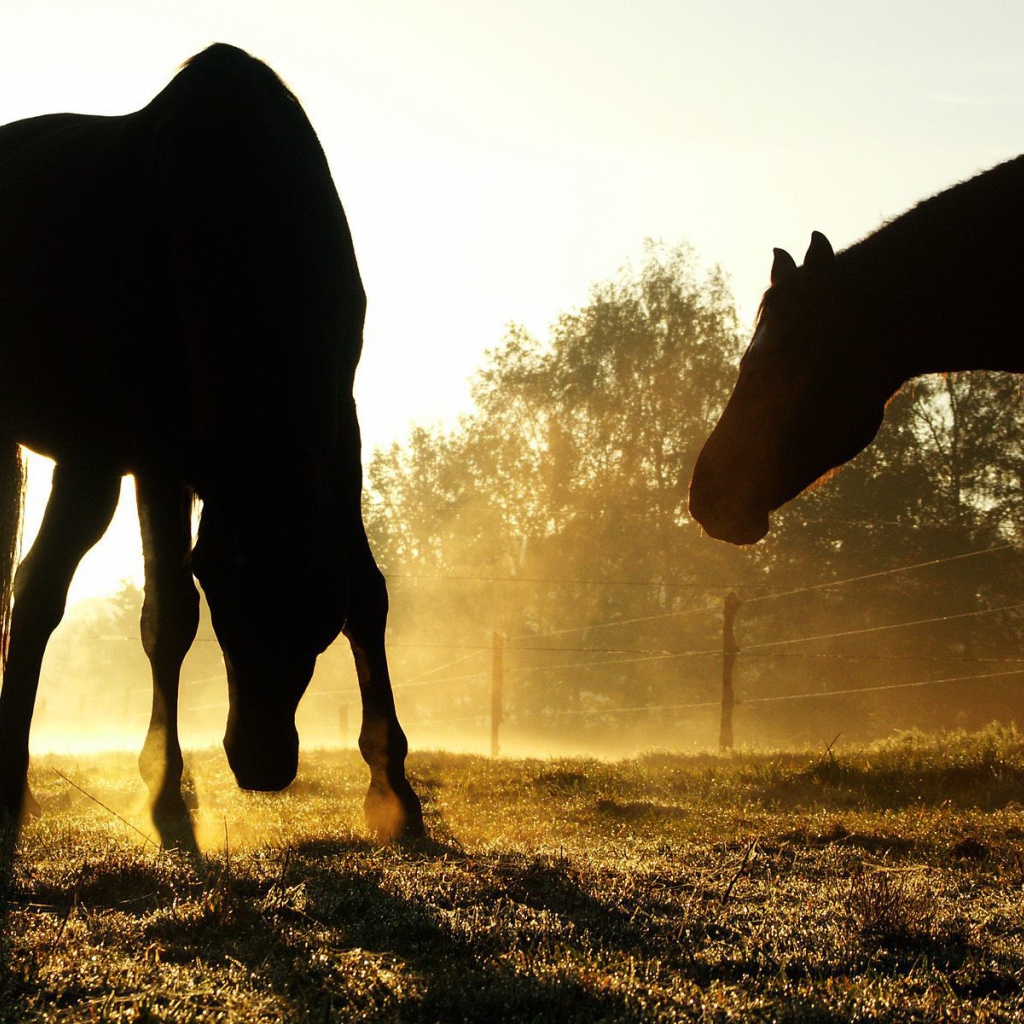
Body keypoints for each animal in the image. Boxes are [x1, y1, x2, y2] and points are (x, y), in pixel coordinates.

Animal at [0, 43, 423, 845]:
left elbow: (371, 594)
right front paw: (165, 794)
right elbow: (168, 615)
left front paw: (393, 793)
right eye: (219, 585)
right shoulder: (155, 453)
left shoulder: (339, 433)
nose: (260, 763)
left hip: (78, 458)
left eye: (315, 606)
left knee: (33, 586)